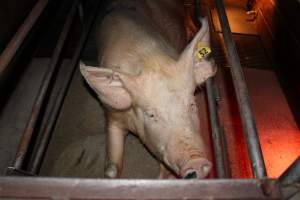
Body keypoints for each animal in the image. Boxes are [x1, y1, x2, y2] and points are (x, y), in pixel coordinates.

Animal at [79, 0, 216, 178]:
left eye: (192, 105)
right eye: (151, 114)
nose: (196, 161)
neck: (149, 59)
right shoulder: (112, 114)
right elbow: (112, 167)